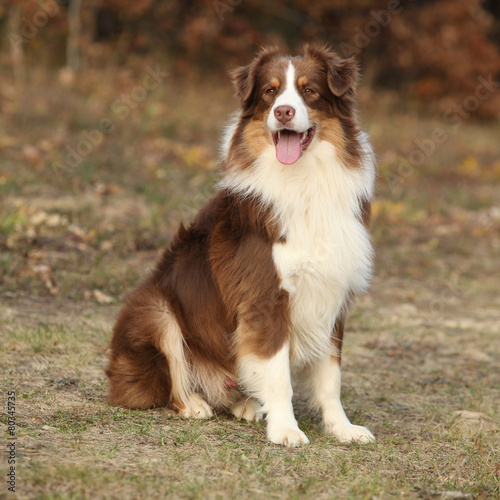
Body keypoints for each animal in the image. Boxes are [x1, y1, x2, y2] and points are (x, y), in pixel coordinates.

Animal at [107, 46, 376, 446]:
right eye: (270, 91)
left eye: (309, 91)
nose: (283, 112)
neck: (303, 180)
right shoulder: (265, 297)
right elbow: (279, 375)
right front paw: (285, 429)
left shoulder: (332, 293)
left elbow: (331, 376)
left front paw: (341, 428)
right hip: (155, 308)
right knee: (167, 384)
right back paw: (193, 404)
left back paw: (246, 404)